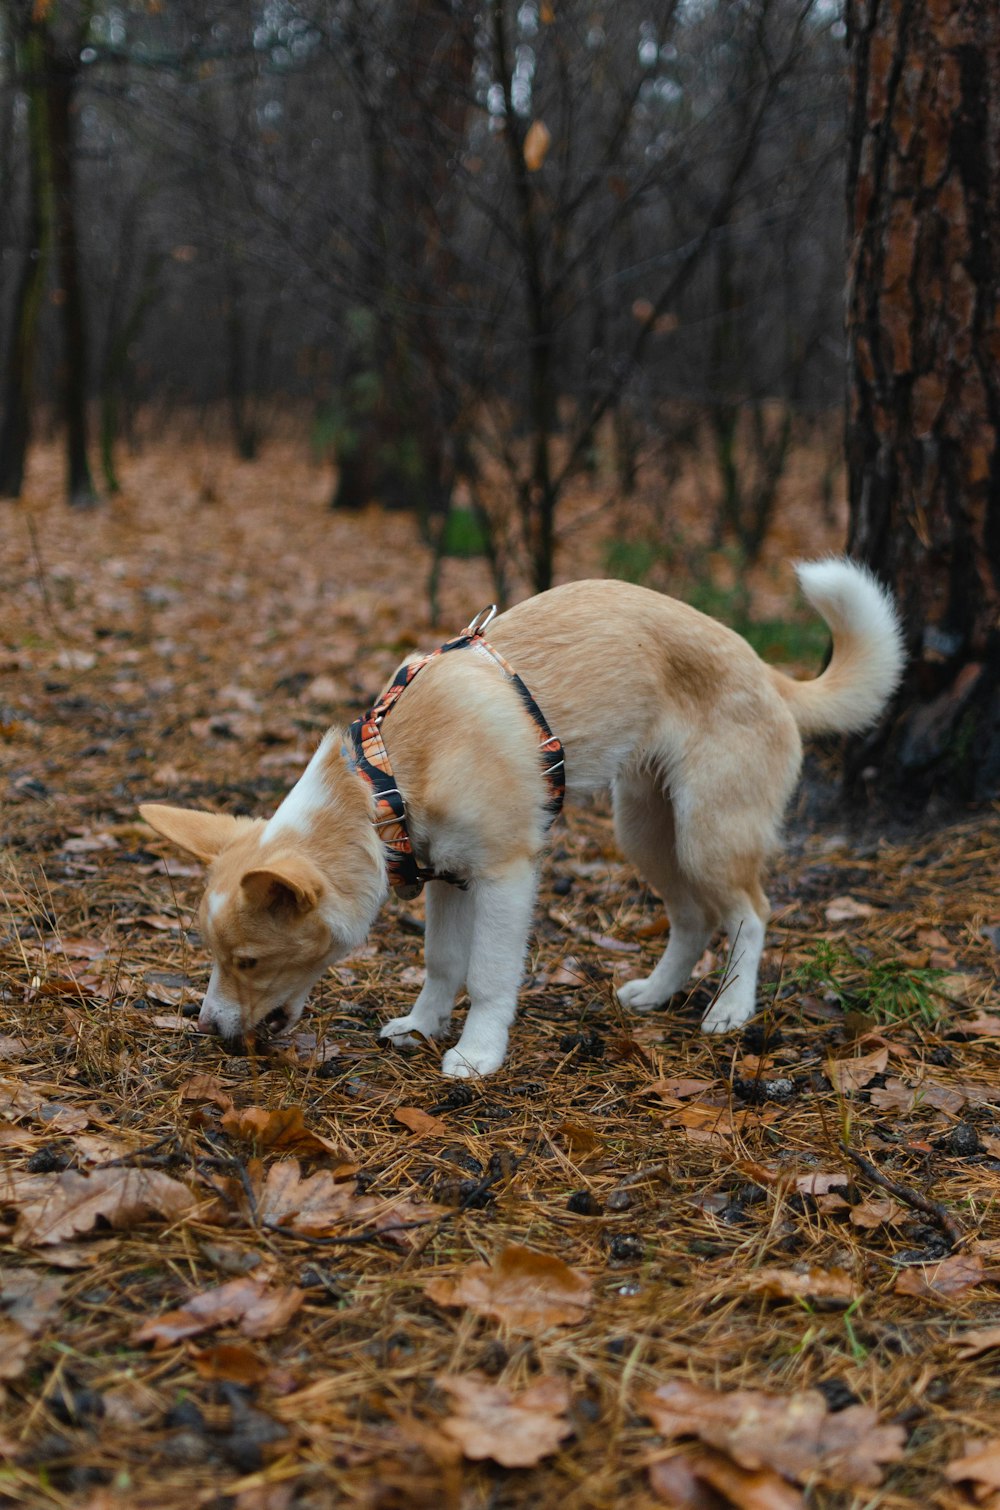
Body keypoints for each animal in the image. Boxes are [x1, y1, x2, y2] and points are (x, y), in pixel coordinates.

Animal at [138, 561, 900, 1081]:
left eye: (248, 961)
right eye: (215, 958)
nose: (207, 1028)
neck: (386, 779)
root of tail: (771, 676)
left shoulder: (505, 876)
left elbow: (489, 975)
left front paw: (477, 1053)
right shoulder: (447, 876)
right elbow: (443, 962)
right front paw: (421, 1027)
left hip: (707, 834)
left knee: (750, 913)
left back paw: (731, 1011)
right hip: (646, 831)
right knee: (693, 918)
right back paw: (656, 993)